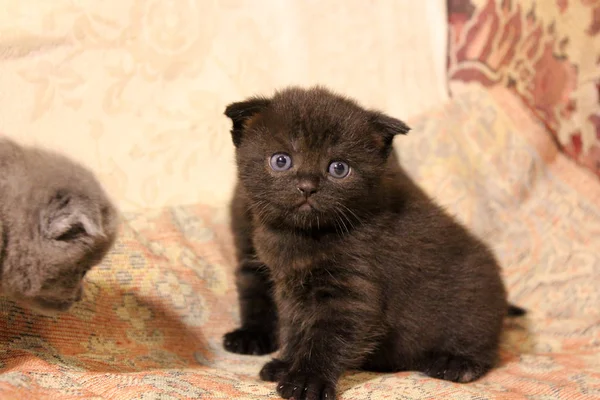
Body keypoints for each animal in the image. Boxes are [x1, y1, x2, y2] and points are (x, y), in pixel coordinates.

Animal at [221, 87, 524, 400]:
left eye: (339, 168)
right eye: (281, 160)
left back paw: (456, 363)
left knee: (483, 345)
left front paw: (306, 380)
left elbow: (325, 338)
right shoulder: (290, 291)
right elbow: (295, 328)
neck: (306, 236)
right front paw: (285, 365)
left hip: (475, 307)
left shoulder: (352, 291)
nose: (307, 186)